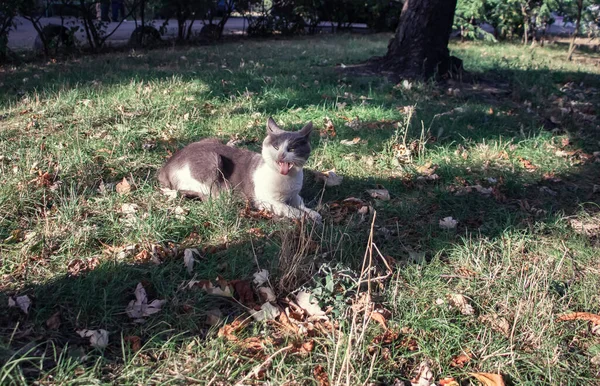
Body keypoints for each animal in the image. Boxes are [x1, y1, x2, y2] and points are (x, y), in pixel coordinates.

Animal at [157, 117, 322, 223]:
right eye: (276, 147)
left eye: (292, 149)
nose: (281, 155)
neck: (287, 180)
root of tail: (165, 167)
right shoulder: (267, 201)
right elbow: (290, 209)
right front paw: (306, 217)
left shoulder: (294, 195)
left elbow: (301, 204)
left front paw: (314, 214)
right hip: (213, 160)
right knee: (209, 194)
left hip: (214, 140)